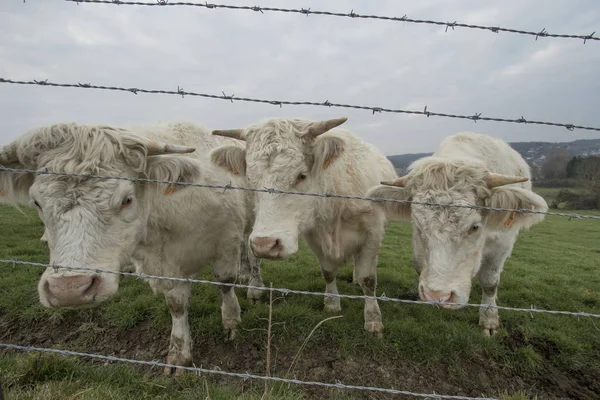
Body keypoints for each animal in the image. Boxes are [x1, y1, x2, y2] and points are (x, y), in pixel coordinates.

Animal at [0, 120, 264, 374]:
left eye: (126, 200)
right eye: (37, 202)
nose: (69, 289)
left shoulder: (225, 241)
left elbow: (225, 283)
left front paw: (231, 321)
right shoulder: (165, 263)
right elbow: (176, 305)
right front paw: (179, 353)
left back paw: (251, 282)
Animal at [211, 117, 398, 336]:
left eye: (301, 175)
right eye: (250, 179)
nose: (264, 245)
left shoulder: (372, 234)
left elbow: (368, 279)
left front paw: (373, 320)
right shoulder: (315, 238)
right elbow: (328, 272)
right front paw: (332, 303)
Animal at [366, 131, 548, 334]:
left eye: (474, 226)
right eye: (417, 225)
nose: (438, 296)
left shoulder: (502, 244)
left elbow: (490, 282)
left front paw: (489, 319)